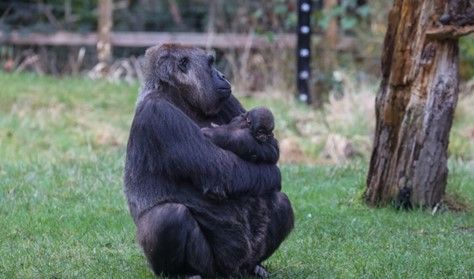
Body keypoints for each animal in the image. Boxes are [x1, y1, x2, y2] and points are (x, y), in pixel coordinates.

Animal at [123, 43, 292, 278]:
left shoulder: (228, 99)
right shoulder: (158, 113)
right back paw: (184, 272)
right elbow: (222, 172)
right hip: (210, 267)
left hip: (244, 259)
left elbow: (270, 146)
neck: (176, 94)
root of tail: (230, 272)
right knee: (168, 216)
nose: (223, 75)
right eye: (211, 64)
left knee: (280, 201)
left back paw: (255, 266)